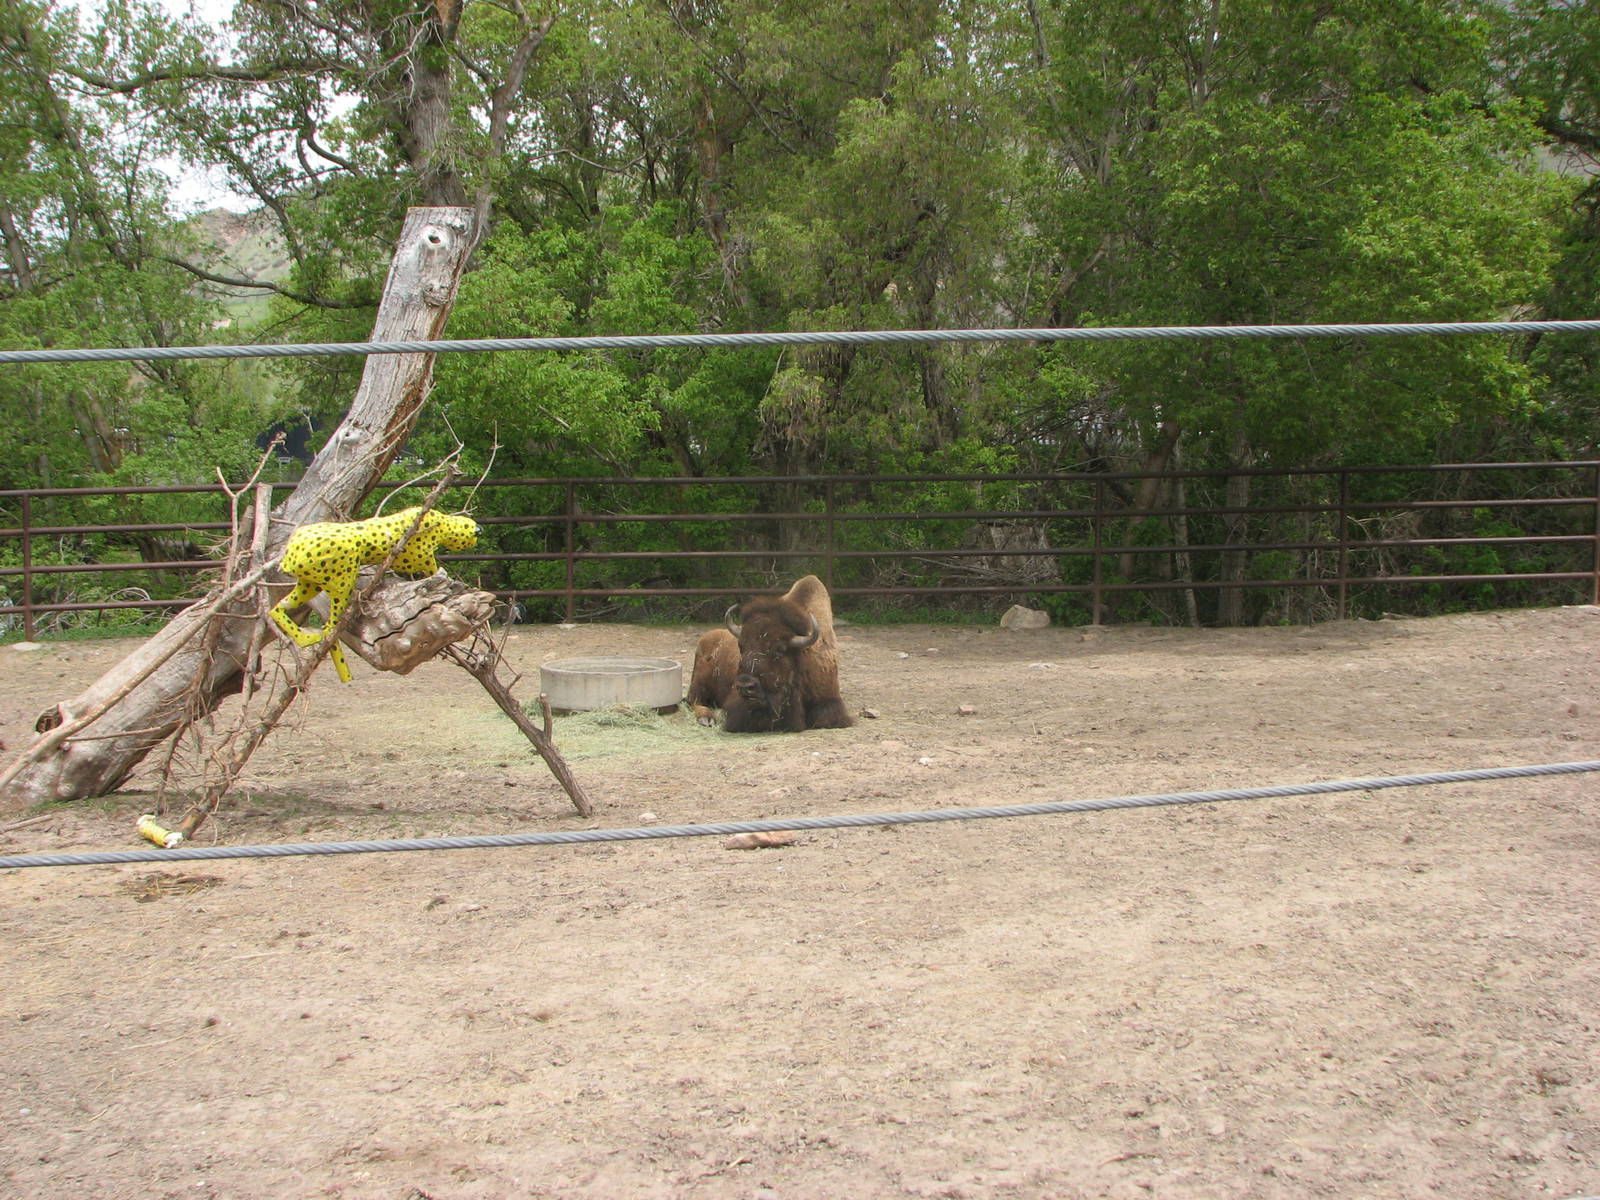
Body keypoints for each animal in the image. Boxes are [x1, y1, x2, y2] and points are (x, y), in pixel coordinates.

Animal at [686, 574, 853, 732]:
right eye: (741, 646)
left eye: (780, 650)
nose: (746, 686)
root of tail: (706, 638)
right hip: (699, 683)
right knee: (694, 702)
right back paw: (706, 719)